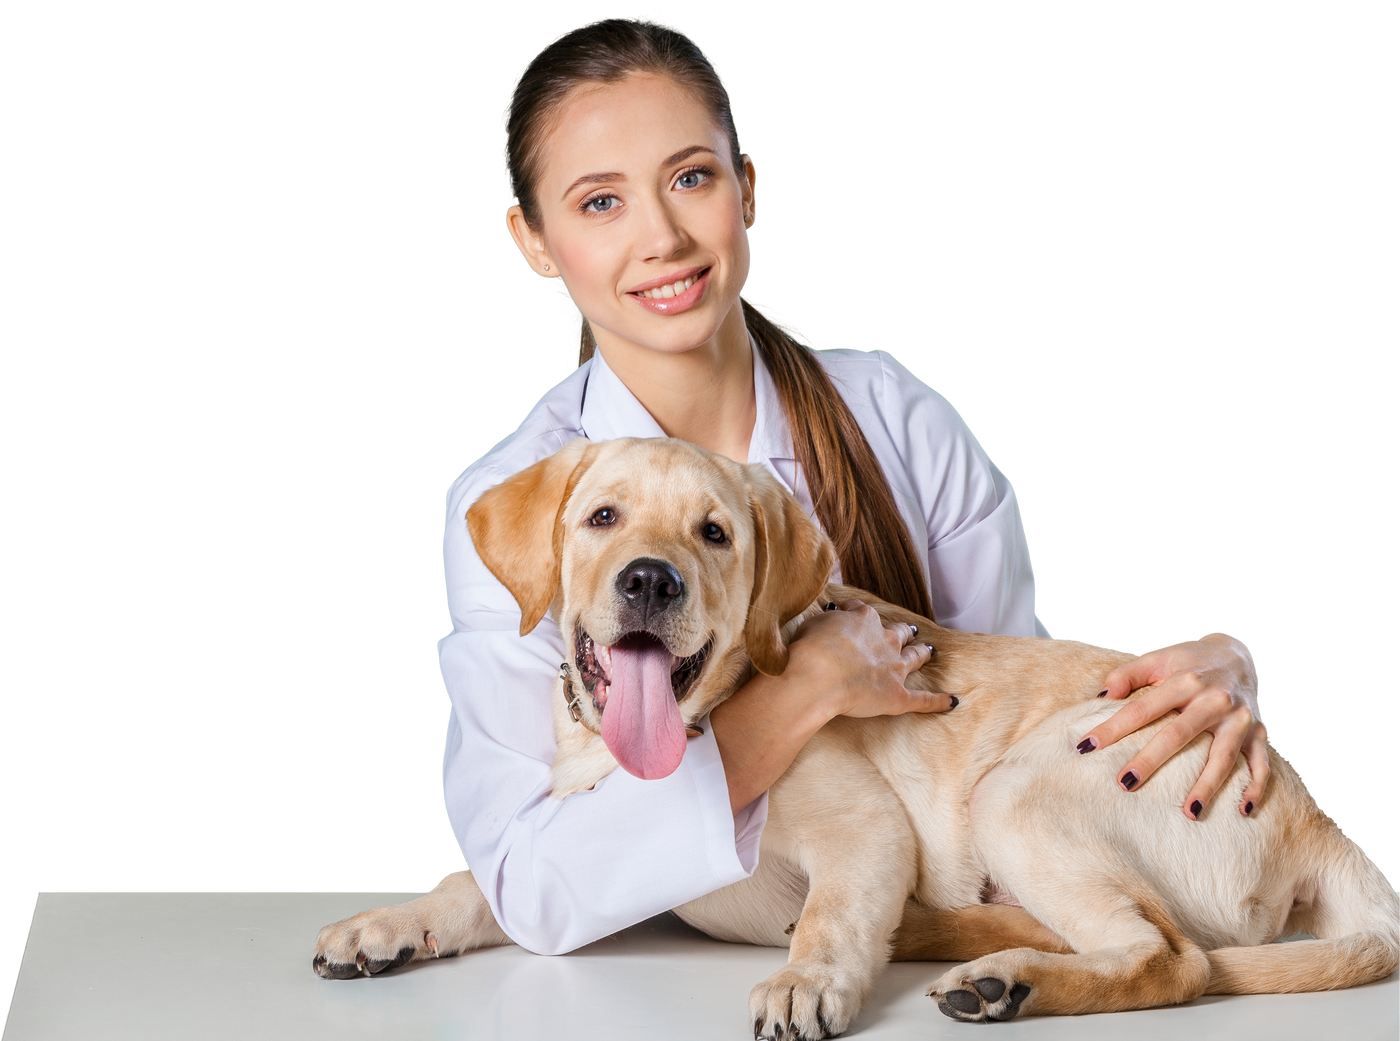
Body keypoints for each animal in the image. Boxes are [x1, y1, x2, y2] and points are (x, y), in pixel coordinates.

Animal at [315, 436, 1400, 1035]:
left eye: (714, 534)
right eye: (602, 517)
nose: (649, 580)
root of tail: (1318, 819)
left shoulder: (862, 833)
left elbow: (832, 915)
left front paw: (804, 983)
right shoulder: (573, 861)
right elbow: (477, 881)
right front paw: (385, 924)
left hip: (1021, 786)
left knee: (1172, 959)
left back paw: (1002, 980)